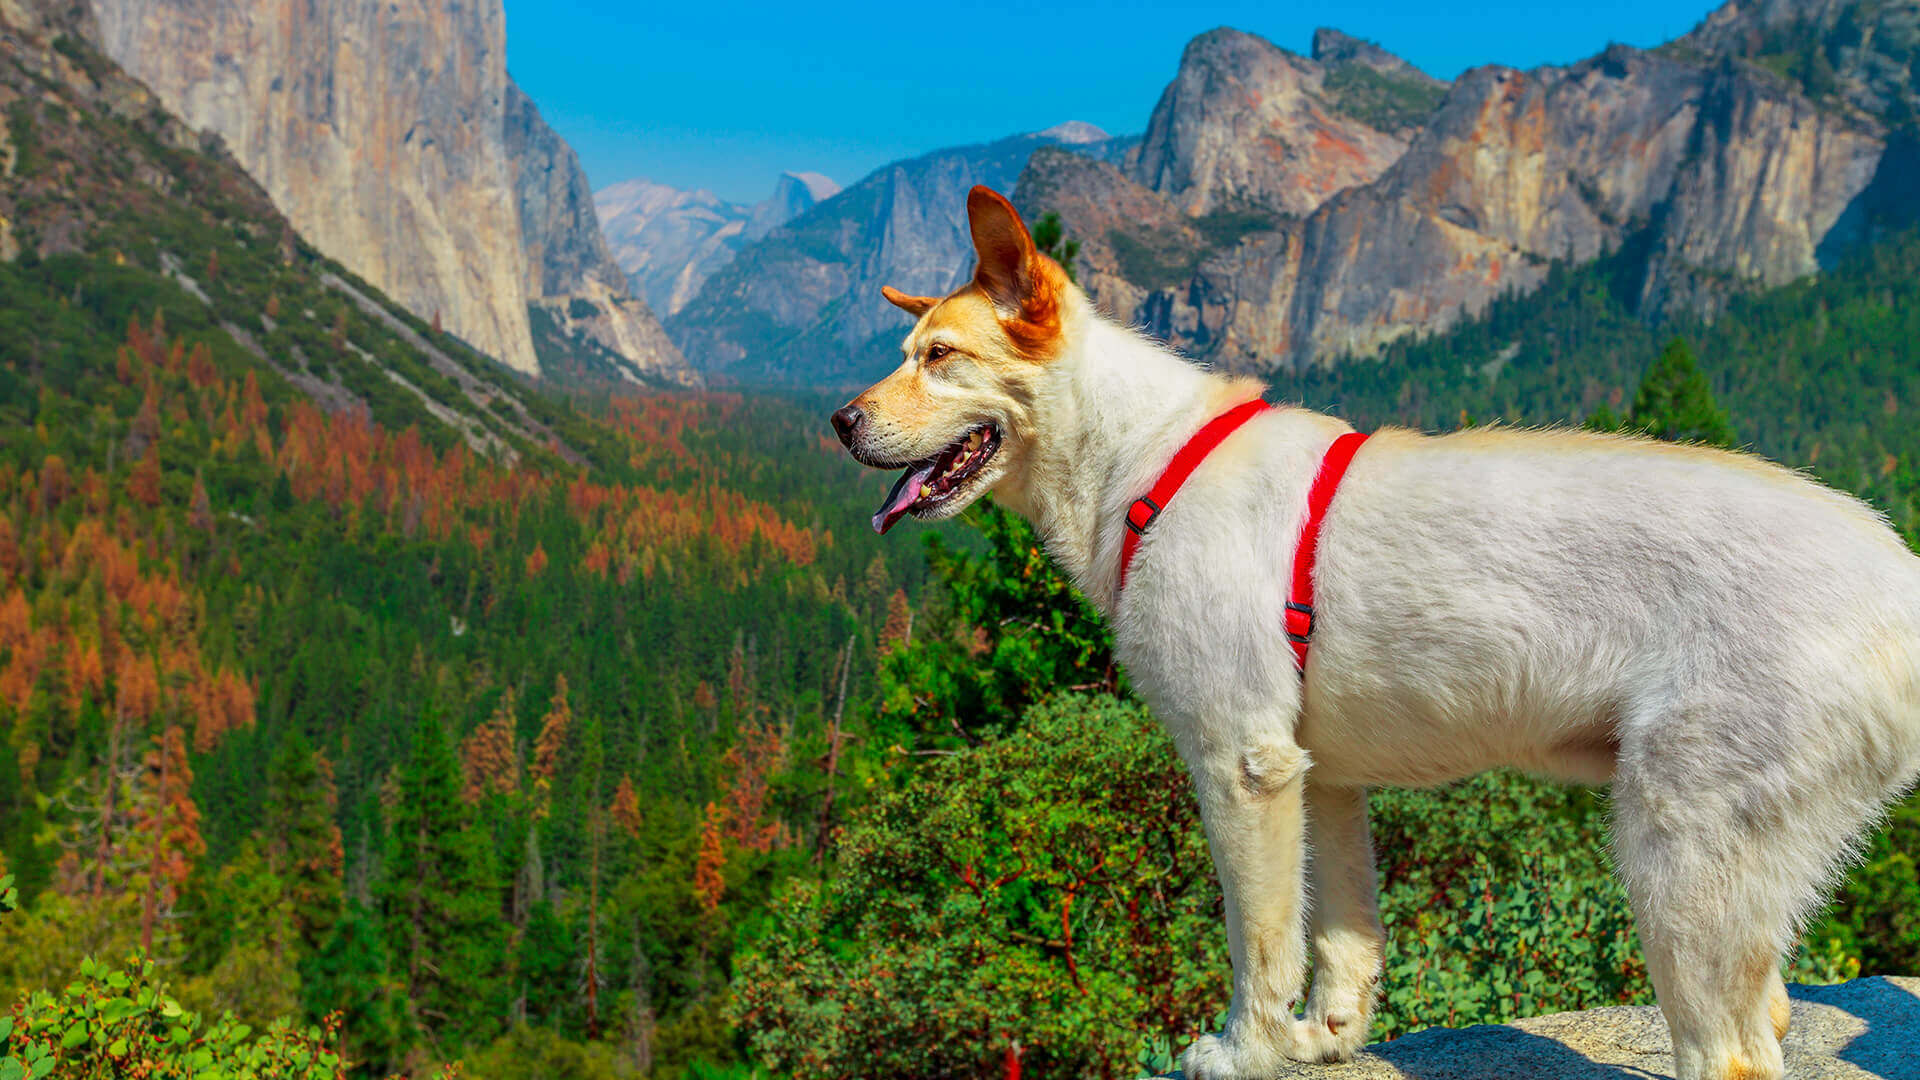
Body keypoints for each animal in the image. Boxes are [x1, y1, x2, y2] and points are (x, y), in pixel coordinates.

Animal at [829, 187, 1920, 1076]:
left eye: (941, 358)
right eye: (905, 354)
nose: (837, 423)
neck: (1144, 457)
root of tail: (1896, 571)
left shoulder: (1242, 766)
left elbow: (1259, 942)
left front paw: (1248, 1051)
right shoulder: (1320, 779)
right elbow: (1342, 937)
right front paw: (1324, 1039)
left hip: (1677, 855)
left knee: (1730, 1052)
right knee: (1771, 1010)